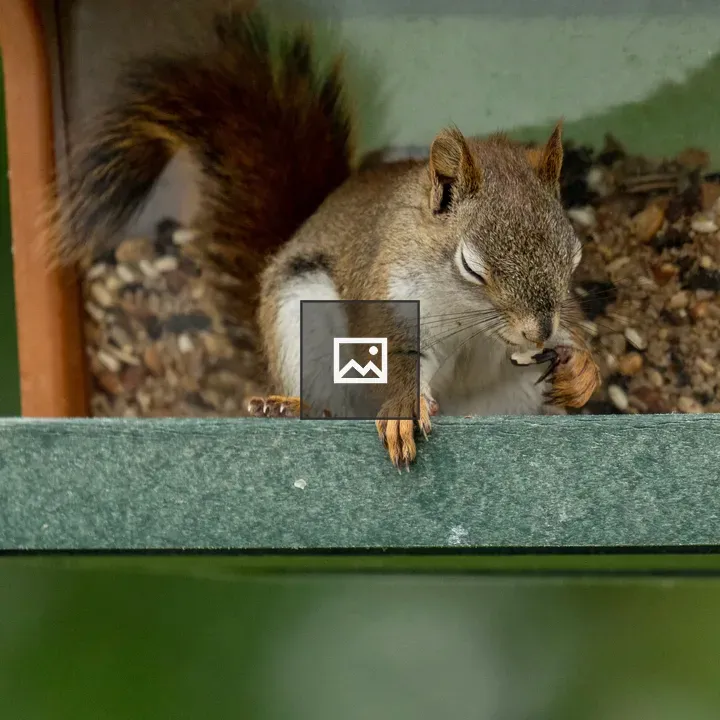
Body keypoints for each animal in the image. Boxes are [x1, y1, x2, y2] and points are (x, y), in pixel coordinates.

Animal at [52, 7, 600, 469]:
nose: (539, 332)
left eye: (573, 259)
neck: (470, 323)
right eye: (471, 266)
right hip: (302, 317)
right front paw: (402, 410)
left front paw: (583, 371)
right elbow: (393, 356)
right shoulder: (387, 291)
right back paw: (293, 405)